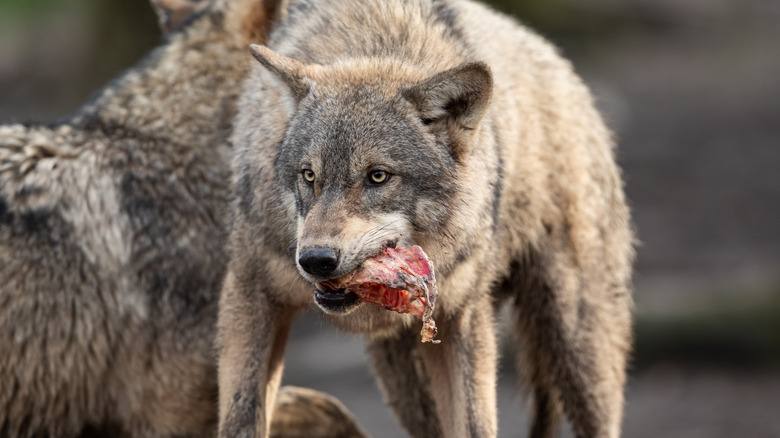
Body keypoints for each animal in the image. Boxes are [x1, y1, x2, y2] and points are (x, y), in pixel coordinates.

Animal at [218, 0, 635, 437]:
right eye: (309, 175)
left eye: (378, 176)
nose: (315, 260)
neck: (377, 37)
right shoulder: (250, 295)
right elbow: (240, 416)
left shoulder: (463, 317)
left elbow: (475, 425)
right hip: (405, 381)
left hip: (579, 348)